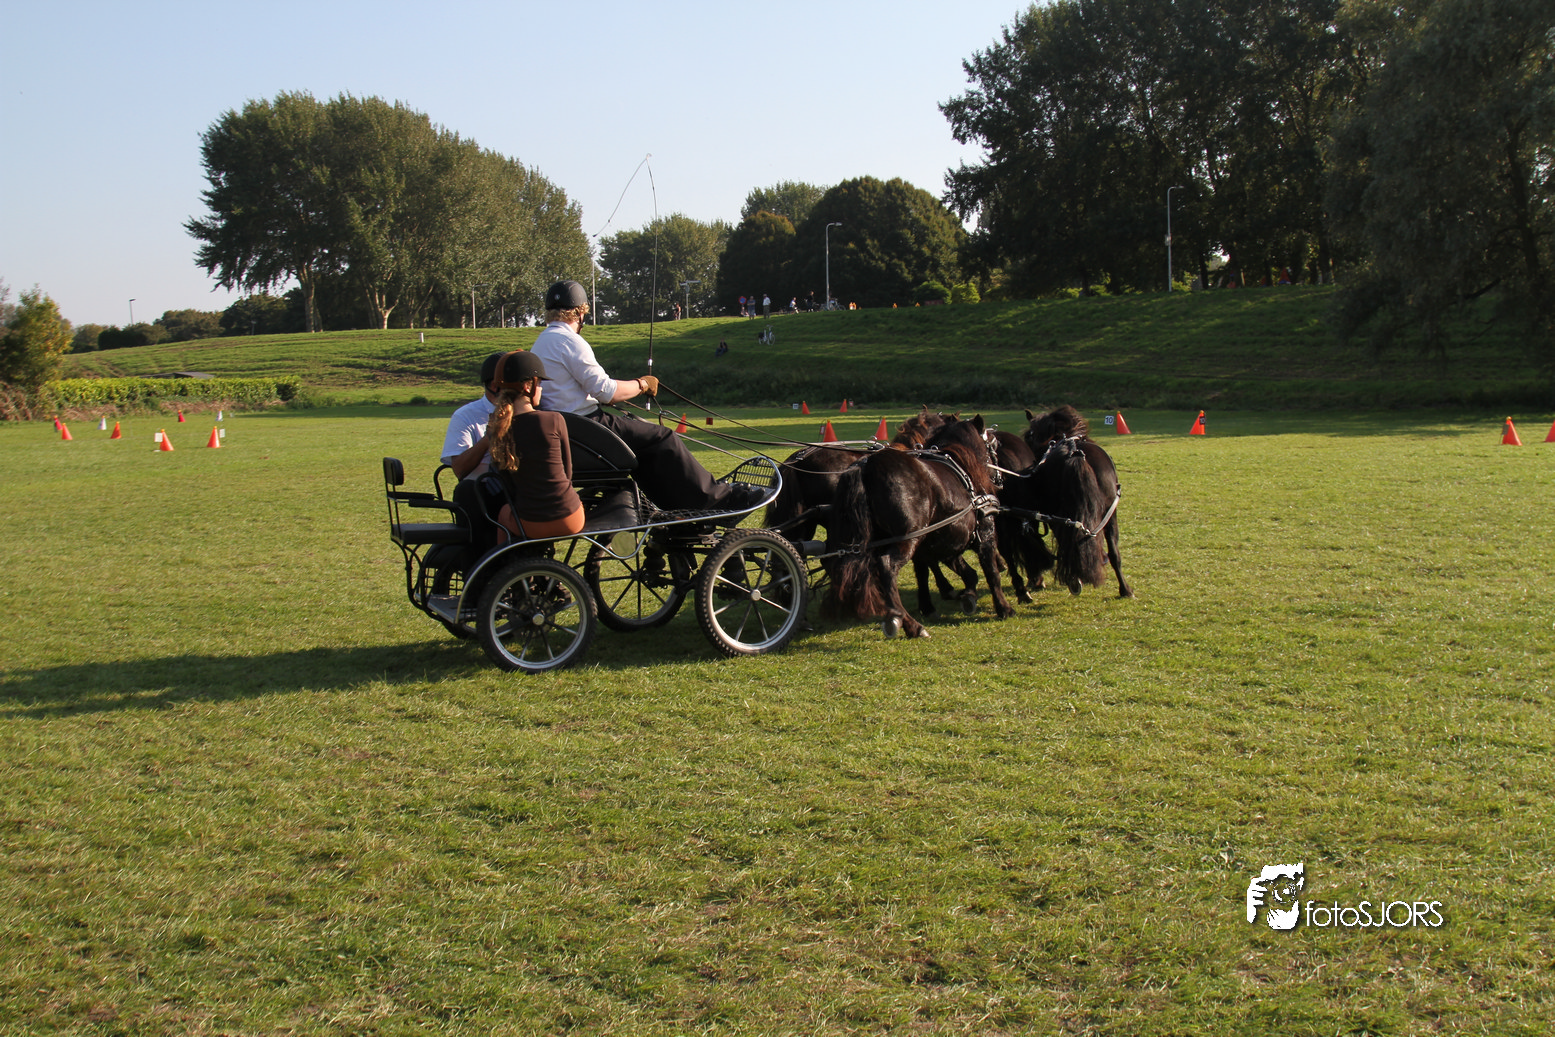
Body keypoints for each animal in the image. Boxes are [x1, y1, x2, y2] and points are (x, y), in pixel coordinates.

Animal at [822, 415, 1015, 638]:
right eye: (994, 444)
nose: (1001, 479)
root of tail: (865, 466)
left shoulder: (933, 542)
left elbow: (928, 573)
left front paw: (937, 603)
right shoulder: (984, 534)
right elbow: (991, 572)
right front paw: (1003, 608)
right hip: (908, 538)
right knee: (886, 568)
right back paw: (910, 624)